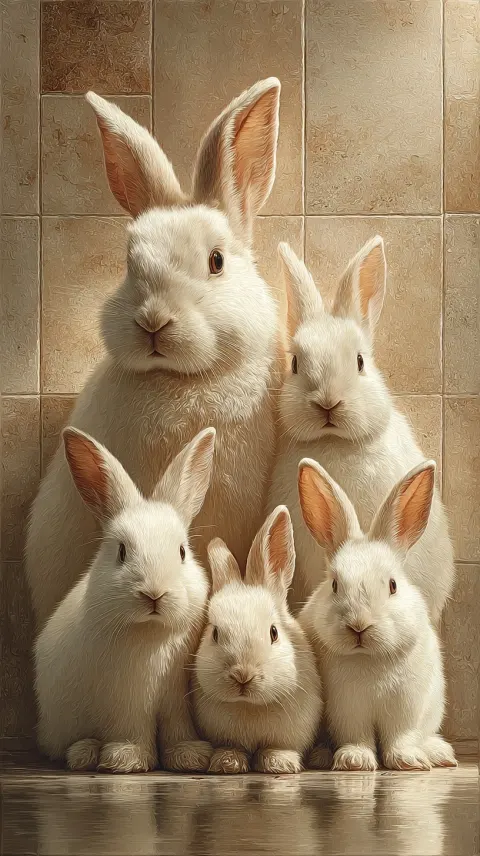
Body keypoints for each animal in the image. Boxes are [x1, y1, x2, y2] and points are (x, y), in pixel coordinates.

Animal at [35, 425, 216, 774]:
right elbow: (132, 727)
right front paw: (126, 758)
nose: (154, 594)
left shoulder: (174, 695)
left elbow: (177, 727)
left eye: (182, 551)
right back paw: (85, 753)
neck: (149, 632)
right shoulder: (126, 697)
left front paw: (189, 755)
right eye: (121, 552)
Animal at [192, 506, 323, 775]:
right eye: (215, 634)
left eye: (274, 632)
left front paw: (279, 763)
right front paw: (227, 763)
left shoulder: (290, 732)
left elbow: (277, 747)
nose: (243, 675)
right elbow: (232, 747)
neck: (249, 706)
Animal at [298, 456, 457, 772]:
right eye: (334, 585)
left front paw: (408, 761)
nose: (359, 626)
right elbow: (356, 735)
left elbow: (401, 736)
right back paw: (322, 756)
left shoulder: (405, 705)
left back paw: (439, 753)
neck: (369, 659)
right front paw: (355, 760)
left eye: (393, 585)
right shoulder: (347, 708)